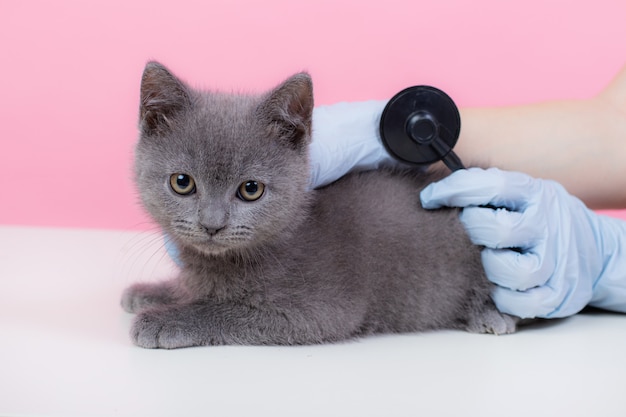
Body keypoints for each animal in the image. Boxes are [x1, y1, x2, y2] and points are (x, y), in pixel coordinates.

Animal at [119, 61, 516, 348]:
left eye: (251, 189)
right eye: (182, 182)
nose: (212, 224)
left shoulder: (320, 309)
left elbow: (228, 311)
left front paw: (167, 319)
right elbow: (196, 290)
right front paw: (153, 292)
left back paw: (491, 317)